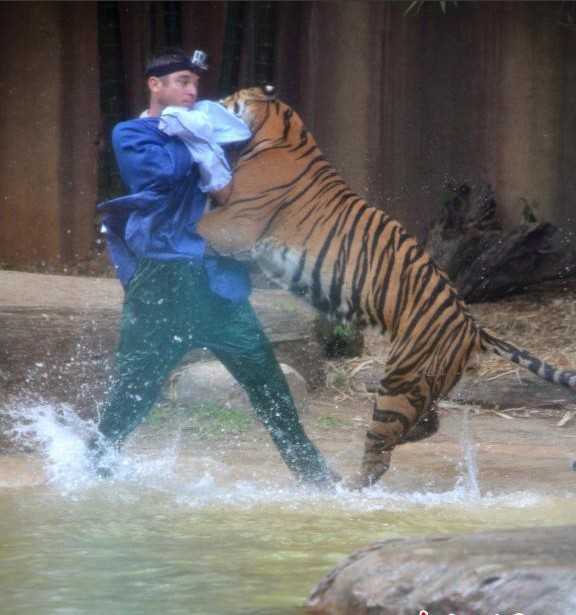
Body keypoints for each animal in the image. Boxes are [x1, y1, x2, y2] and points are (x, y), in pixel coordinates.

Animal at [197, 86, 576, 490]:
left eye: (231, 98)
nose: (213, 102)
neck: (282, 129)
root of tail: (474, 328)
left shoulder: (235, 223)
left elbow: (198, 223)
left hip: (400, 381)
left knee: (380, 450)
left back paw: (349, 485)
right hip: (422, 384)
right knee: (425, 423)